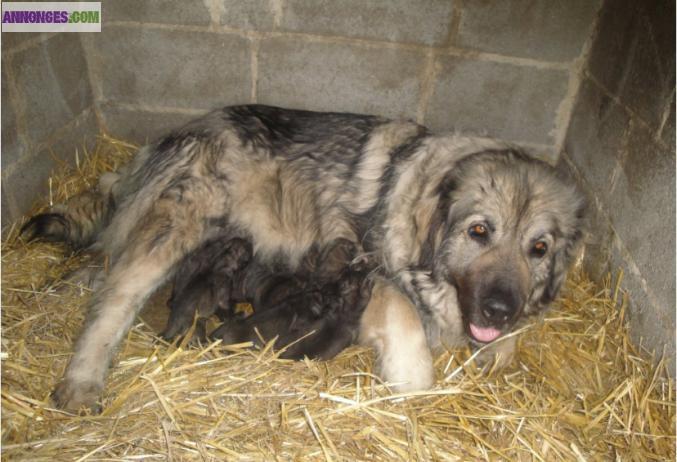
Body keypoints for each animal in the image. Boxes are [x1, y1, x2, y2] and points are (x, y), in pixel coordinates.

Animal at [19, 104, 580, 412]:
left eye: (539, 248)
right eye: (479, 231)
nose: (499, 310)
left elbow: (504, 348)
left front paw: (495, 347)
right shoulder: (366, 266)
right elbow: (408, 330)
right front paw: (411, 382)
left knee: (104, 265)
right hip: (176, 230)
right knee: (115, 297)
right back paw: (82, 380)